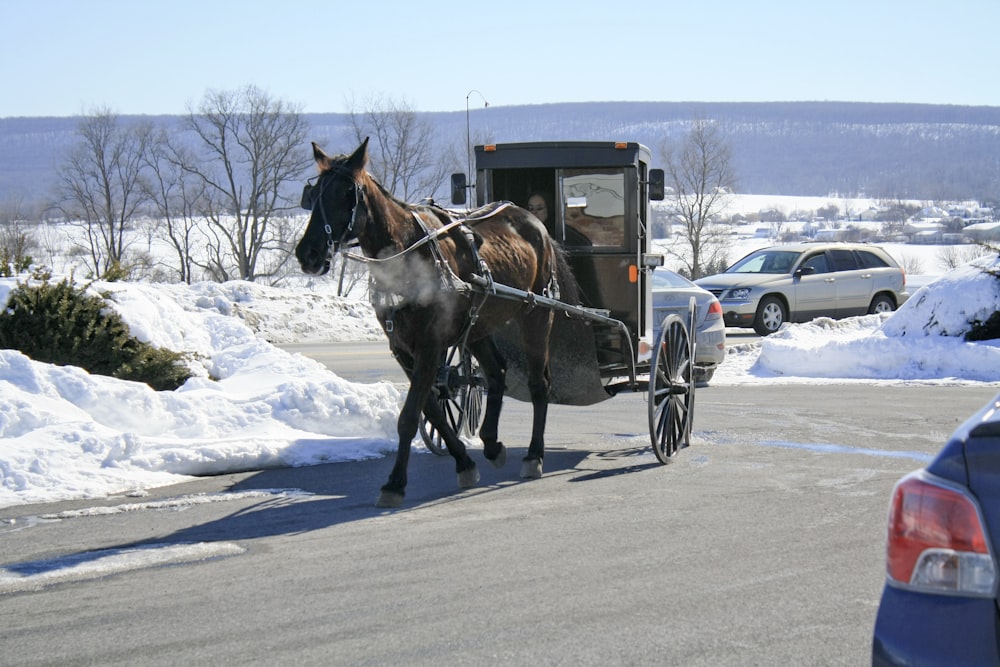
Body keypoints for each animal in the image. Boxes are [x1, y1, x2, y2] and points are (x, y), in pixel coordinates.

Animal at [292, 140, 580, 506]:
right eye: (313, 195)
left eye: (346, 193)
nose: (309, 253)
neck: (406, 253)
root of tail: (535, 224)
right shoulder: (403, 348)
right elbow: (430, 408)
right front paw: (465, 462)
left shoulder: (430, 343)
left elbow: (410, 415)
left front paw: (395, 483)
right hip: (478, 324)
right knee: (496, 372)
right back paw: (491, 442)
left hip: (537, 313)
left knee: (539, 383)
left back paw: (533, 455)